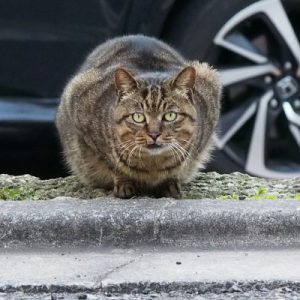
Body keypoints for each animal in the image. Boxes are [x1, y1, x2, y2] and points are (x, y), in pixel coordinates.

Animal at [55, 35, 220, 198]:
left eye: (170, 116)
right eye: (138, 117)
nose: (154, 134)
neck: (153, 165)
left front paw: (169, 182)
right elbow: (114, 165)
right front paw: (124, 183)